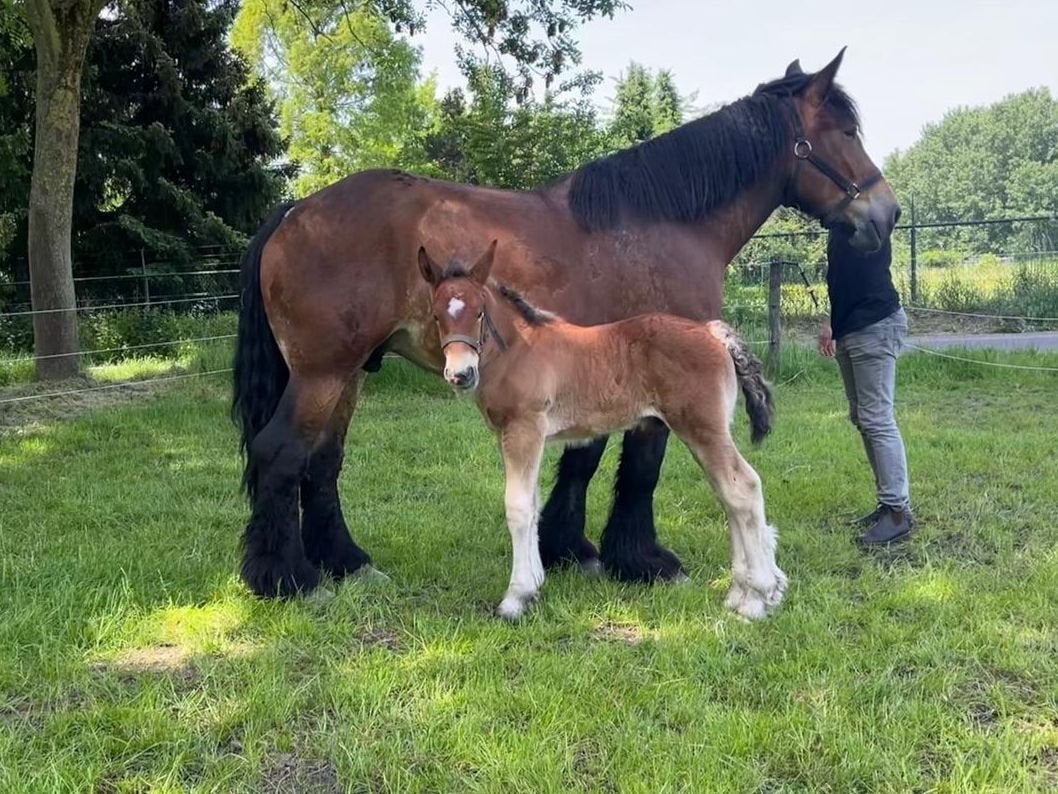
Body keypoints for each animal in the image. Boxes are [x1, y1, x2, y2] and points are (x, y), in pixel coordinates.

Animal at [418, 240, 783, 620]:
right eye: (436, 315)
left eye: (479, 313)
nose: (460, 374)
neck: (519, 352)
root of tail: (712, 332)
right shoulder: (517, 435)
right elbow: (532, 503)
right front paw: (535, 584)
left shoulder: (524, 429)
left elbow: (517, 507)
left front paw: (515, 598)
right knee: (728, 494)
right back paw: (742, 593)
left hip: (702, 428)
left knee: (742, 488)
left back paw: (756, 598)